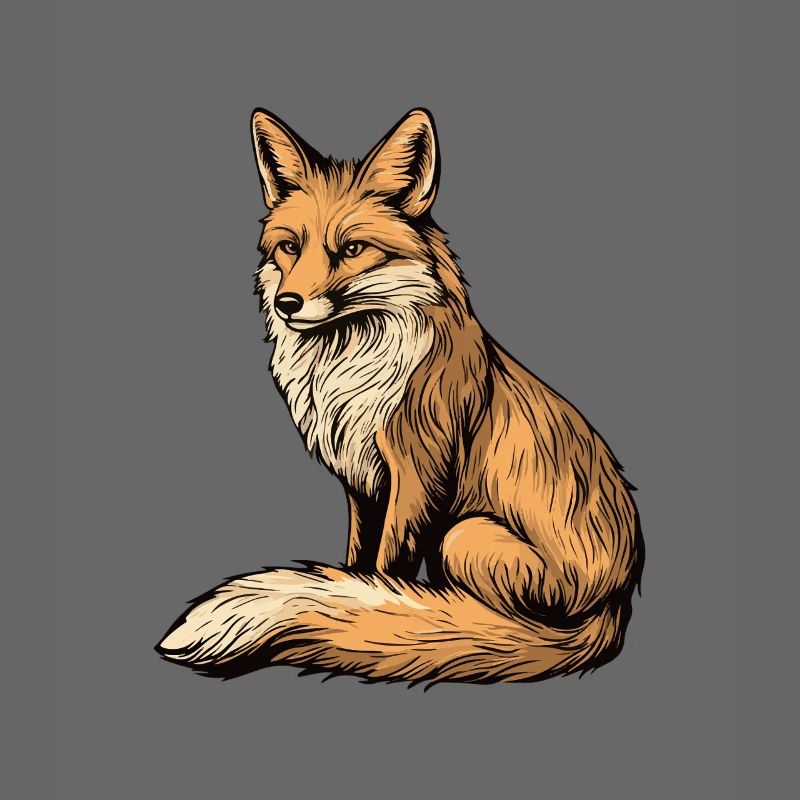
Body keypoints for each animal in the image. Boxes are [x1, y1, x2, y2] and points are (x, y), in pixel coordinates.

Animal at [157, 107, 644, 684]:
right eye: (290, 246)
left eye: (351, 249)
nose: (287, 303)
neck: (348, 372)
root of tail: (617, 603)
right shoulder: (361, 482)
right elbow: (359, 564)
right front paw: (356, 599)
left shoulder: (416, 474)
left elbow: (387, 571)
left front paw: (383, 611)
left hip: (464, 535)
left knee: (504, 619)